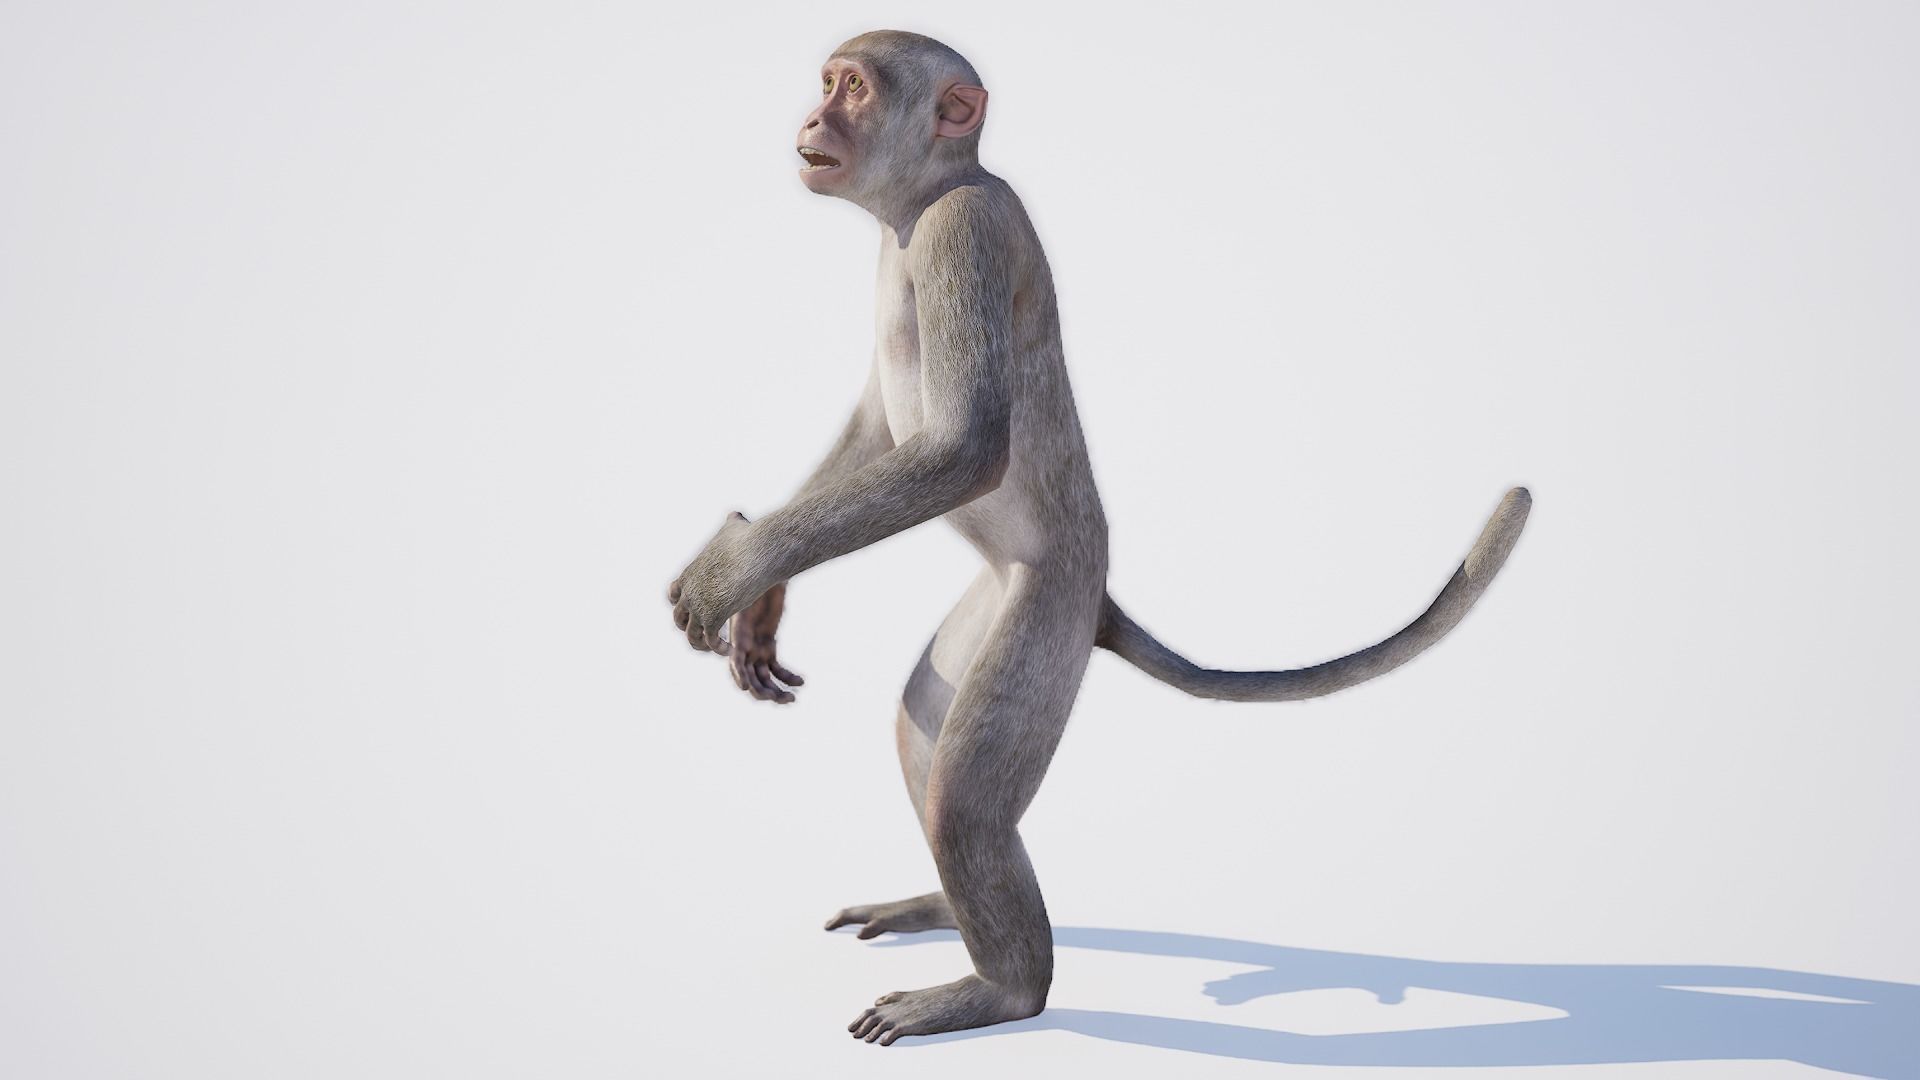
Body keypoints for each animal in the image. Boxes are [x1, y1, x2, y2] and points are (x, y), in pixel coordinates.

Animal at [666, 30, 1532, 1046]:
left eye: (853, 88)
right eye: (826, 84)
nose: (812, 119)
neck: (918, 203)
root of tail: (1098, 599)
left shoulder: (963, 232)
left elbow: (962, 448)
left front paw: (734, 568)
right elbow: (880, 429)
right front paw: (762, 600)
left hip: (1048, 610)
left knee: (961, 799)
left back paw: (1001, 988)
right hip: (1002, 595)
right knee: (923, 728)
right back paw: (944, 908)